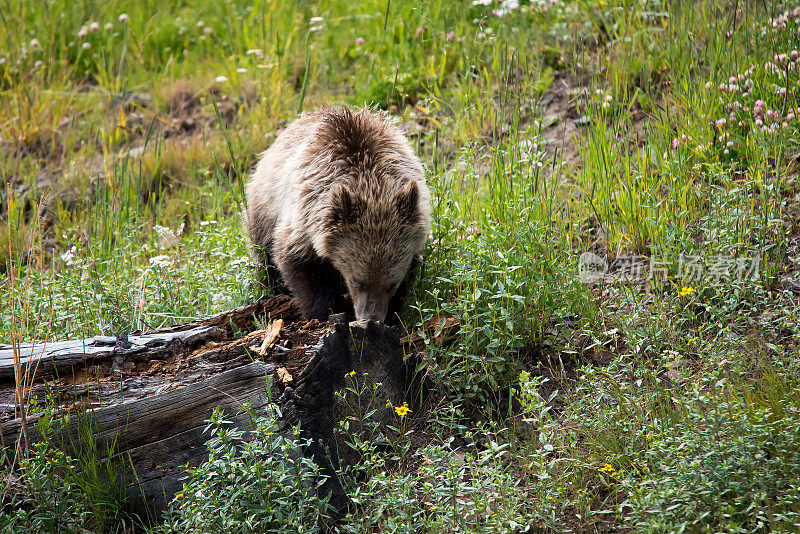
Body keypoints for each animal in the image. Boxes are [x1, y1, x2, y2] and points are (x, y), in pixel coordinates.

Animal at [247, 104, 432, 322]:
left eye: (391, 283)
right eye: (357, 280)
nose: (371, 318)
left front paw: (394, 313)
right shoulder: (304, 220)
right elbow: (303, 270)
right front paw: (323, 311)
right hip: (264, 207)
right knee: (263, 258)